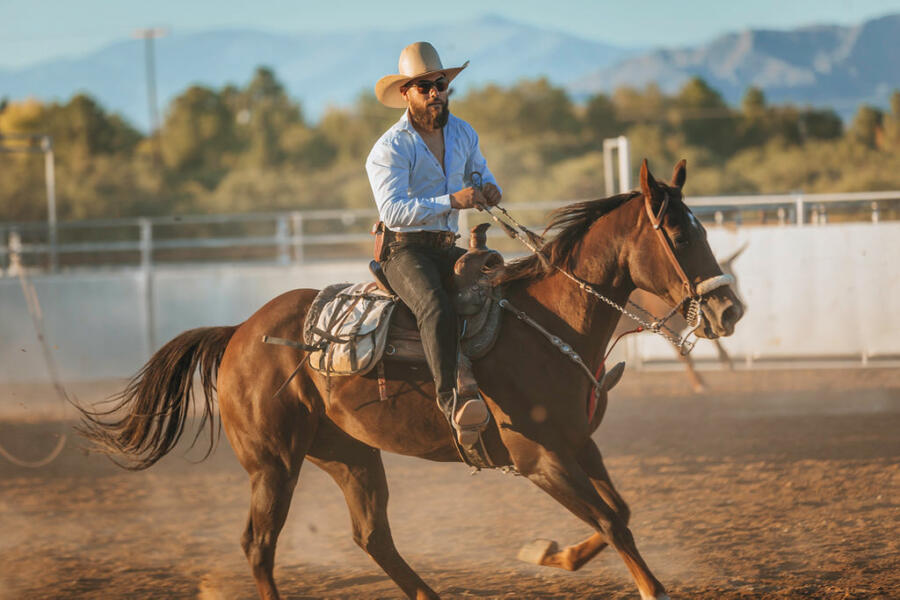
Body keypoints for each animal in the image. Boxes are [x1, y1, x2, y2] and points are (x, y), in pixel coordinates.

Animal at [79, 159, 740, 600]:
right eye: (680, 234)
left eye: (705, 230)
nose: (730, 310)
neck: (551, 324)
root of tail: (240, 331)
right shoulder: (540, 459)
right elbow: (610, 521)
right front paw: (640, 584)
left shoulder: (579, 443)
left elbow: (618, 514)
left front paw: (553, 553)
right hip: (273, 463)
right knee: (259, 546)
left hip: (349, 454)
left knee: (372, 537)